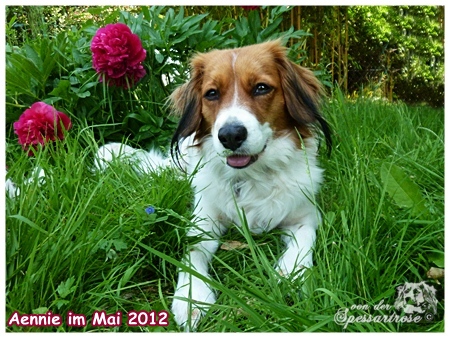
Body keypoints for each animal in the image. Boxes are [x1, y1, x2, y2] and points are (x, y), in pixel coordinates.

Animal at [96, 40, 330, 330]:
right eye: (211, 94)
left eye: (261, 88)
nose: (230, 135)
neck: (250, 177)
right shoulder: (203, 222)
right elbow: (192, 253)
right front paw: (191, 298)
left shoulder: (305, 215)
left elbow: (304, 242)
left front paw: (290, 275)